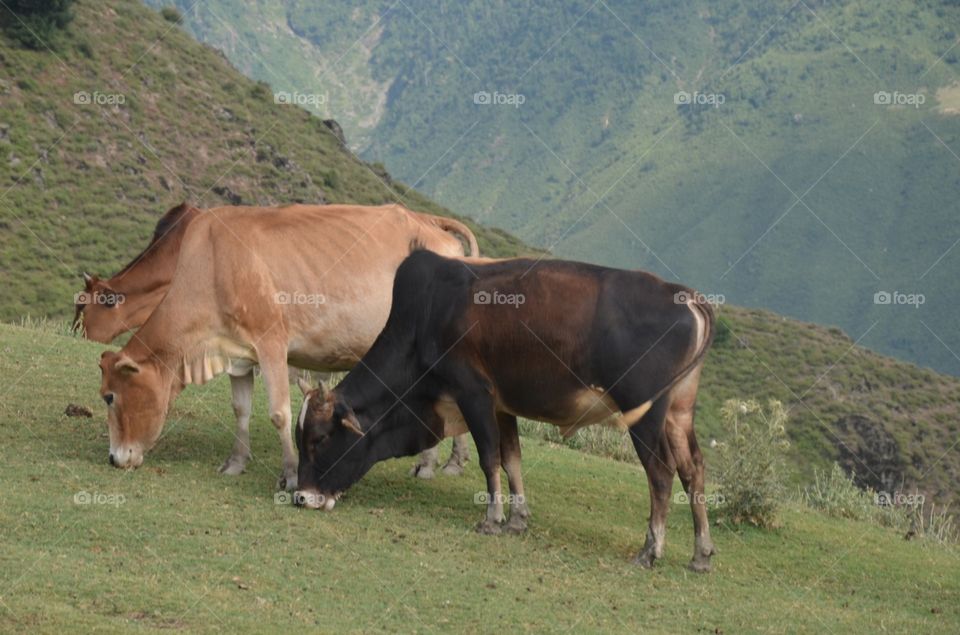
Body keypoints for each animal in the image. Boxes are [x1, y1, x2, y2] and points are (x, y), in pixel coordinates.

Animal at [97, 204, 478, 489]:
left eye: (110, 397)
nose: (114, 458)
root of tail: (428, 222)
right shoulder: (238, 352)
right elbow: (241, 409)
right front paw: (235, 463)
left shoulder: (272, 344)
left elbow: (279, 413)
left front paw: (291, 475)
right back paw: (442, 462)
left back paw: (436, 464)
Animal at [293, 249, 717, 572]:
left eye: (321, 438)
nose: (300, 497)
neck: (423, 319)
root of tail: (684, 295)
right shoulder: (502, 406)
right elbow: (512, 458)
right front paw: (516, 520)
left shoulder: (474, 394)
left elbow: (488, 458)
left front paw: (492, 519)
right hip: (678, 414)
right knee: (693, 470)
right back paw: (700, 554)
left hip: (644, 415)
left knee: (661, 473)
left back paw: (649, 551)